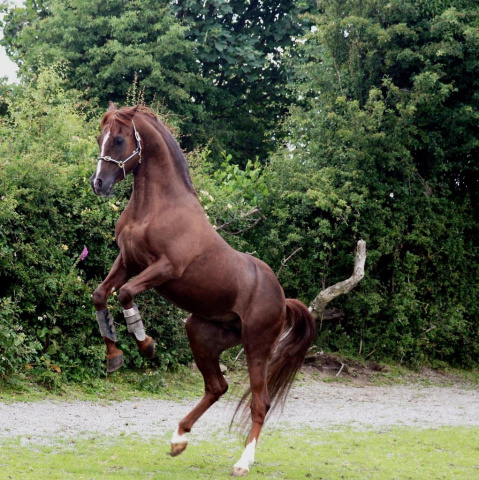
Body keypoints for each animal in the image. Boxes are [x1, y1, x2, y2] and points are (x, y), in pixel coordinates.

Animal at [90, 103, 316, 474]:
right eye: (100, 138)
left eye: (120, 140)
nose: (99, 183)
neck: (156, 207)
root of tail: (283, 300)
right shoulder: (127, 261)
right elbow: (99, 295)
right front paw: (114, 356)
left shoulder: (164, 268)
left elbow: (125, 294)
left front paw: (146, 344)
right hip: (200, 333)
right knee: (217, 386)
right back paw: (179, 439)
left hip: (257, 347)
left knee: (260, 402)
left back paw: (243, 462)